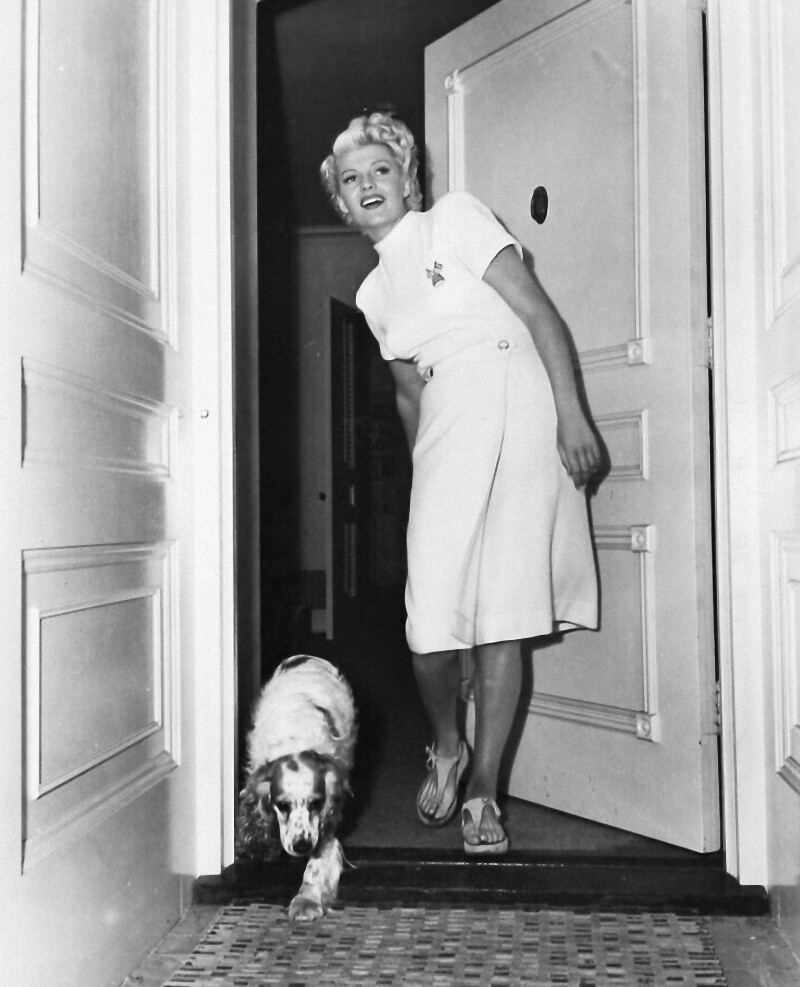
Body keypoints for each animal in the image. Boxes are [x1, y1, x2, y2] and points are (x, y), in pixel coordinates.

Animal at [236, 654, 357, 922]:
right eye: (281, 805)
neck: (294, 740)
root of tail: (308, 657)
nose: (301, 846)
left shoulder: (324, 828)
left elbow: (315, 866)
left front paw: (306, 901)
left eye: (316, 803)